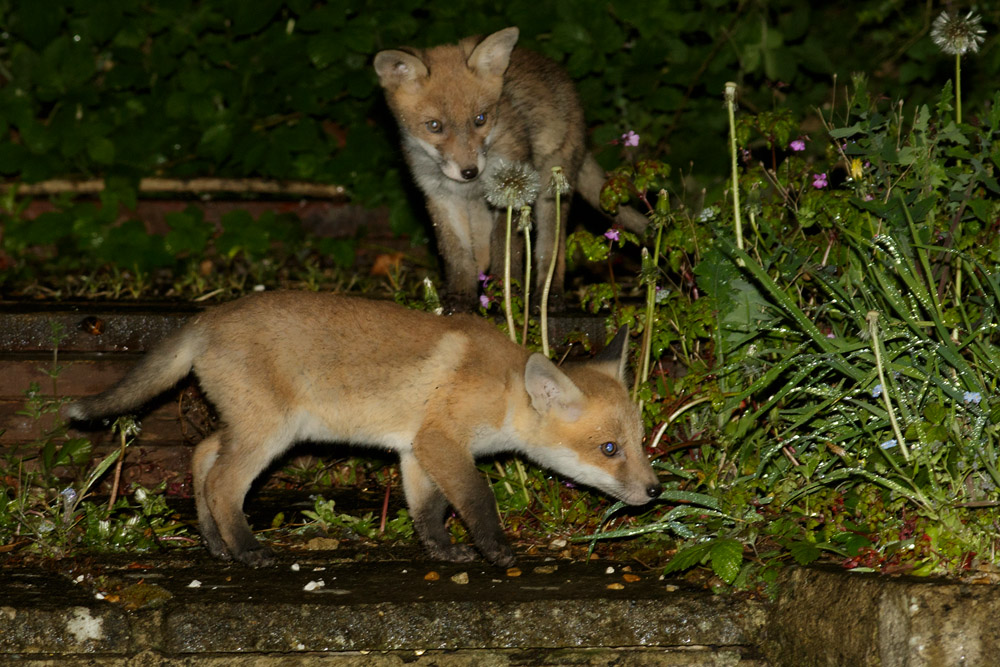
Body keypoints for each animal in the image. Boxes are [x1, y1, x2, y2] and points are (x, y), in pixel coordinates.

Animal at [65, 291, 661, 567]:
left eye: (638, 443)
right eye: (609, 449)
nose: (655, 491)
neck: (505, 390)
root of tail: (206, 317)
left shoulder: (417, 448)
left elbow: (427, 511)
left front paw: (442, 552)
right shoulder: (442, 442)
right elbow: (477, 499)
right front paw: (497, 550)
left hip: (249, 426)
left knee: (201, 456)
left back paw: (214, 542)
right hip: (270, 434)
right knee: (221, 483)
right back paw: (249, 550)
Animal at [374, 27, 648, 309]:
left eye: (480, 119)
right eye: (434, 126)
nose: (469, 172)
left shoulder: (514, 187)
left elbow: (505, 247)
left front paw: (507, 292)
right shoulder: (440, 197)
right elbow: (456, 253)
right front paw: (460, 295)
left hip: (551, 190)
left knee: (551, 248)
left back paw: (548, 296)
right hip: (481, 208)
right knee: (481, 249)